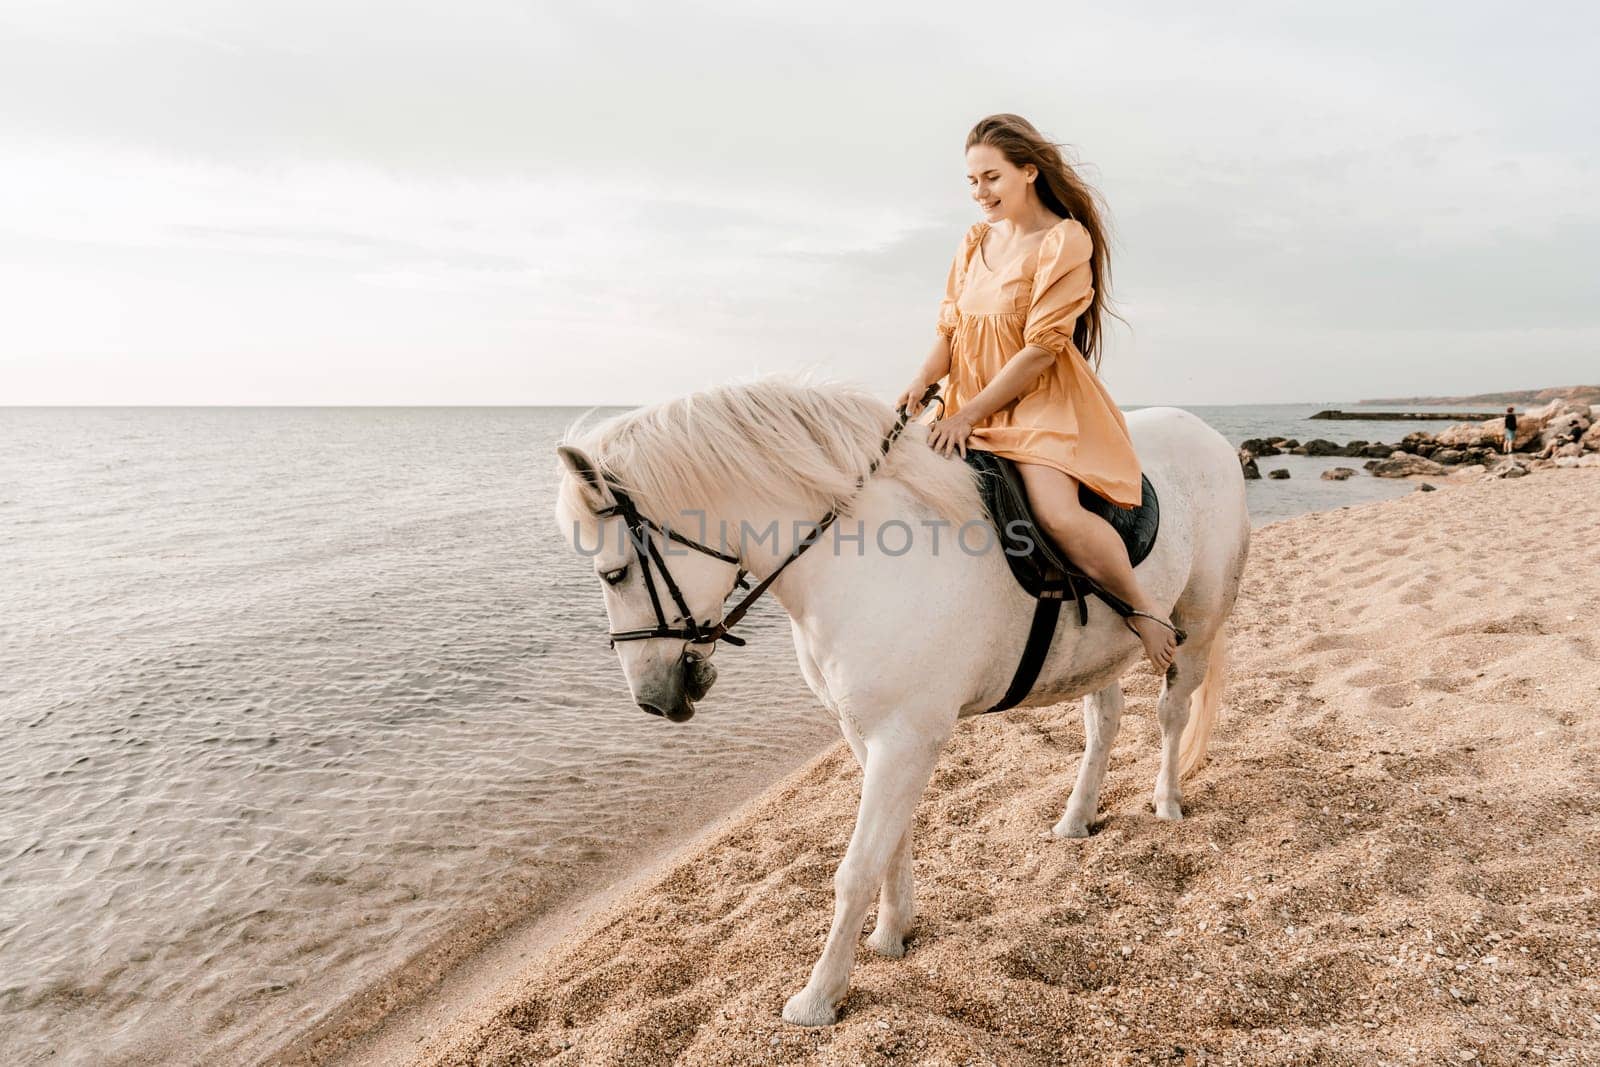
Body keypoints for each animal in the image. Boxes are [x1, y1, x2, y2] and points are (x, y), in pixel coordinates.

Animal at [553, 379, 1248, 1030]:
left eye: (613, 574)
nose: (651, 699)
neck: (858, 560)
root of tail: (1209, 436)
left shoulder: (905, 738)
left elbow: (857, 866)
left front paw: (819, 996)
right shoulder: (869, 734)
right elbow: (892, 842)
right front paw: (893, 934)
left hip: (1197, 624)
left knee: (1172, 713)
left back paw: (1167, 801)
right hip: (1096, 655)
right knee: (1103, 721)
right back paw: (1076, 818)